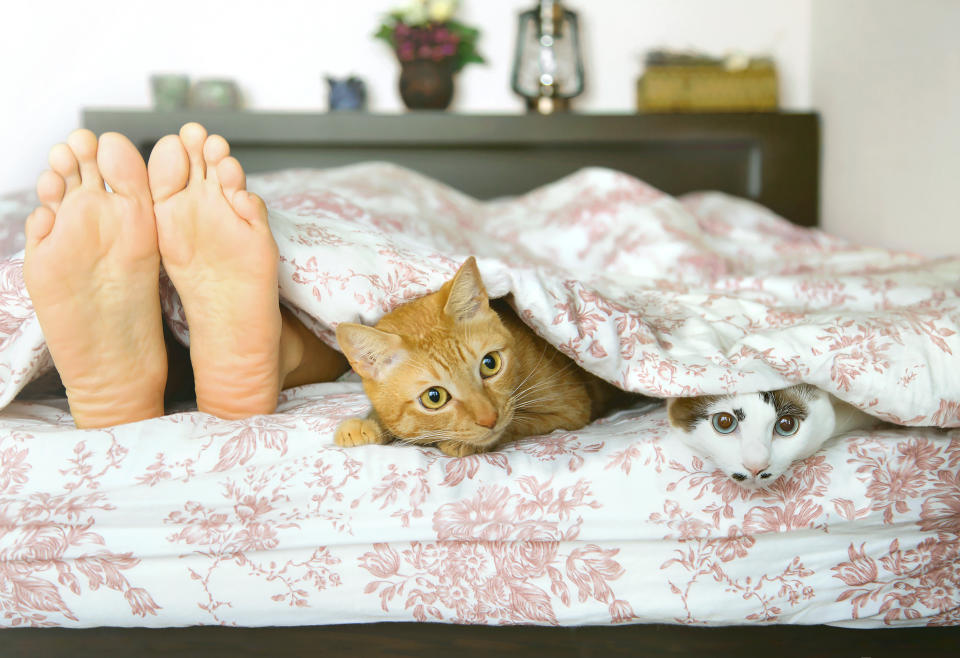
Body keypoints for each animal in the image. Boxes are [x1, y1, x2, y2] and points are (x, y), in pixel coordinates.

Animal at [334, 256, 632, 456]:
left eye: (490, 364)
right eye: (434, 397)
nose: (490, 419)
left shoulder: (570, 409)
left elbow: (519, 423)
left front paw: (462, 443)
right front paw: (366, 424)